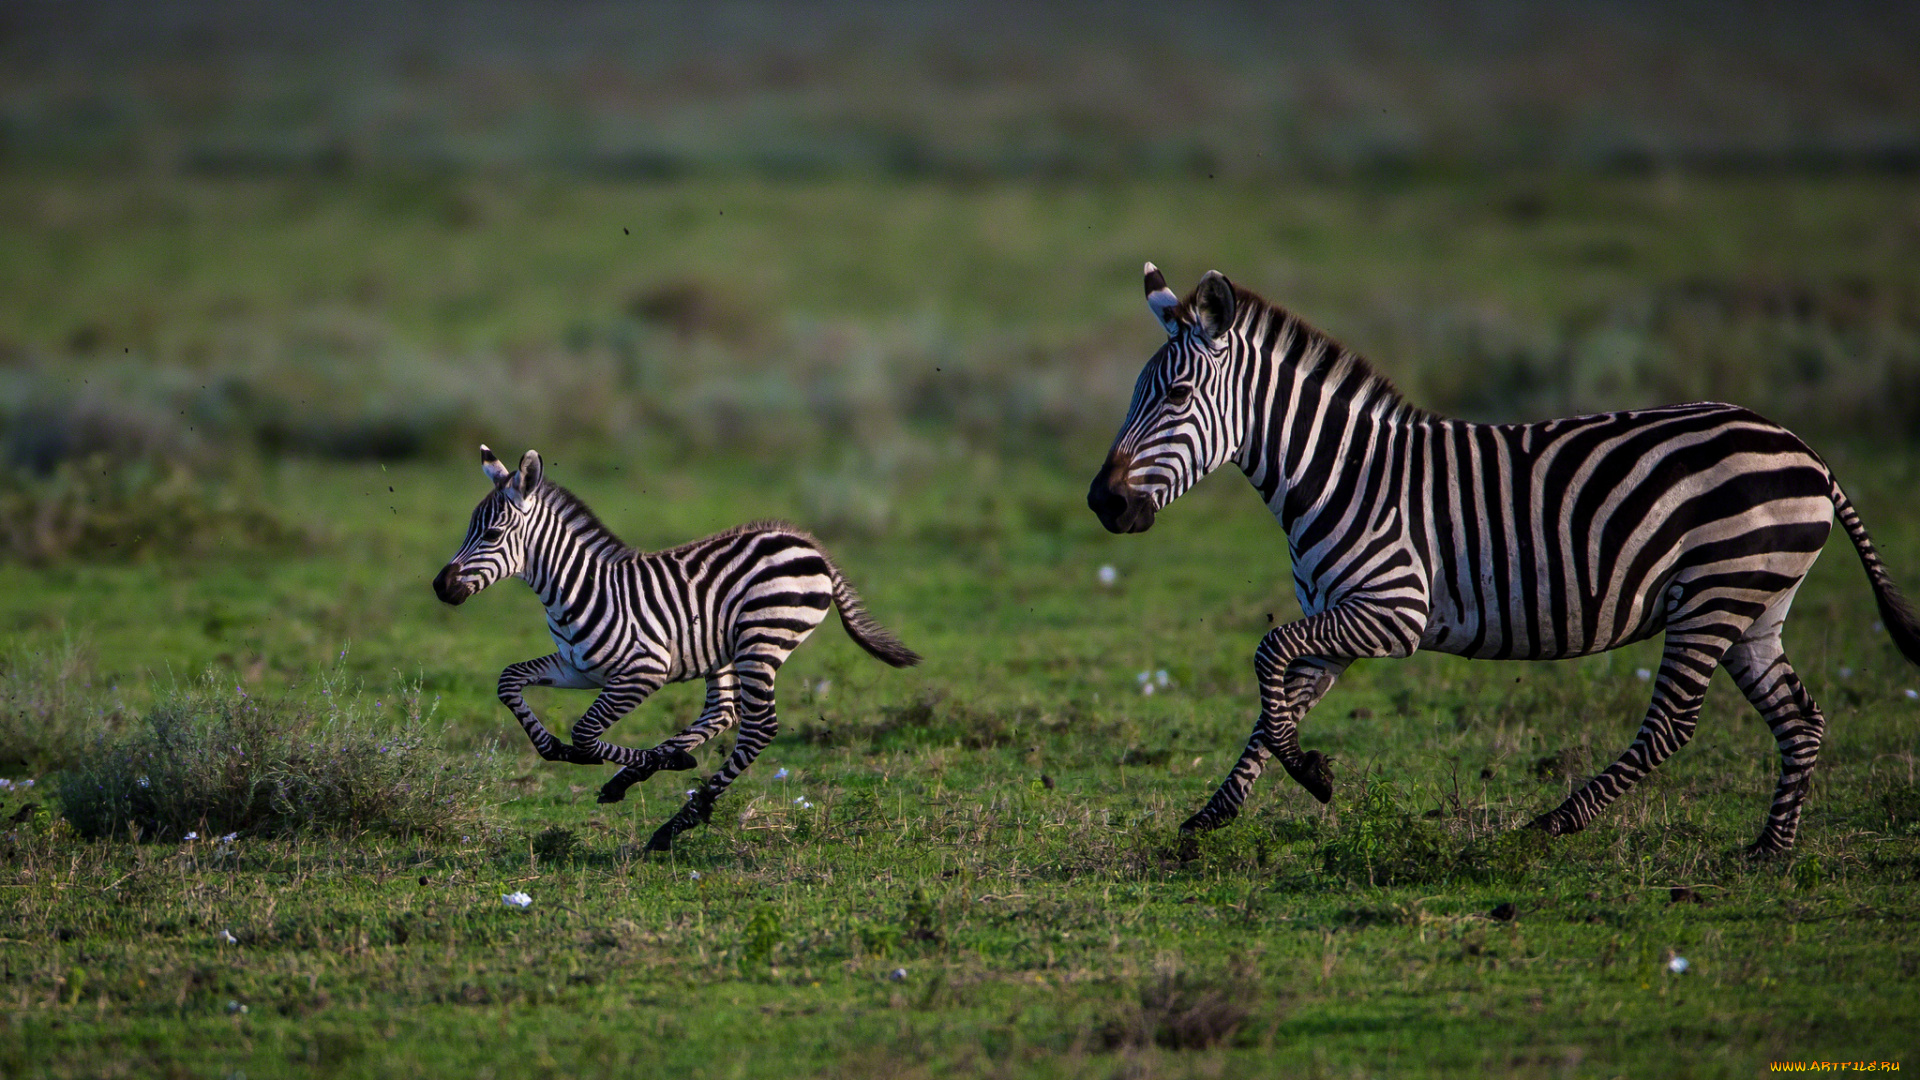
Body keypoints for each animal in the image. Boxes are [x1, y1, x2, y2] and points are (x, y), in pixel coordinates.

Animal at [435, 445, 921, 849]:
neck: (576, 590)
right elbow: (509, 681)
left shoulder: (642, 672)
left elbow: (586, 734)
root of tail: (807, 543)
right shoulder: (578, 669)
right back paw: (648, 778)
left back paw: (675, 822)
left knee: (758, 727)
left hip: (761, 640)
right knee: (723, 712)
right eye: (469, 530)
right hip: (725, 650)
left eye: (492, 534)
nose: (440, 587)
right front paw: (565, 752)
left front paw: (654, 761)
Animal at [1098, 263, 1920, 849]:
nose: (1102, 503)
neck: (1341, 471)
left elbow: (1267, 657)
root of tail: (1806, 450)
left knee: (1673, 724)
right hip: (1755, 604)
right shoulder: (1338, 619)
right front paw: (1222, 810)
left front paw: (1311, 777)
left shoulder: (1392, 611)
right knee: (1800, 719)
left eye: (1175, 396)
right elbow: (1276, 705)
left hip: (1715, 594)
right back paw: (1769, 851)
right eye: (1136, 393)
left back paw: (1553, 824)